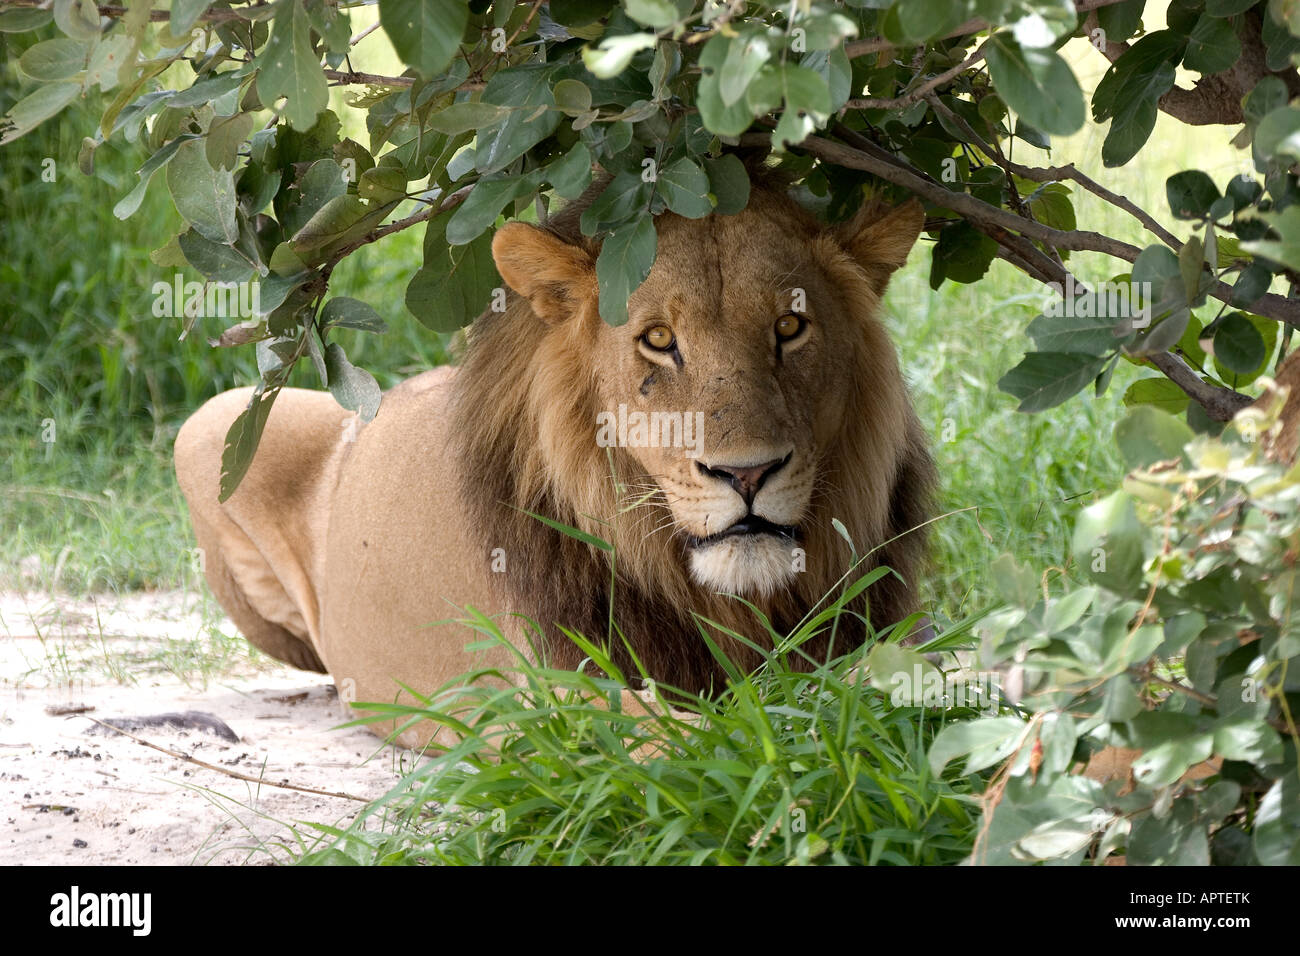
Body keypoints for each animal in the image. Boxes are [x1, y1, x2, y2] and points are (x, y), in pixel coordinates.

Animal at [178, 178, 941, 749]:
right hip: (210, 420)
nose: (746, 475)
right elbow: (679, 735)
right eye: (658, 340)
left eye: (790, 326)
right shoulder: (541, 699)